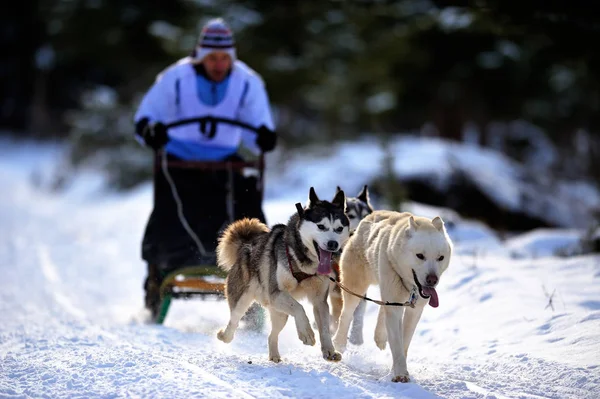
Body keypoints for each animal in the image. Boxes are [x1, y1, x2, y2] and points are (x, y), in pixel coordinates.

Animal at [218, 187, 352, 362]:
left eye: (339, 228)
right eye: (321, 226)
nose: (332, 244)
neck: (305, 264)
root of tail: (246, 245)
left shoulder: (319, 301)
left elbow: (324, 328)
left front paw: (329, 350)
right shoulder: (276, 293)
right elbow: (300, 308)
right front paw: (306, 333)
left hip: (280, 313)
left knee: (272, 335)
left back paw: (274, 355)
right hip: (244, 301)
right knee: (233, 321)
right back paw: (224, 335)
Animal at [330, 211, 452, 382]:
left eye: (440, 258)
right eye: (420, 256)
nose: (432, 280)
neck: (411, 287)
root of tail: (368, 217)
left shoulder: (414, 310)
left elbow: (404, 343)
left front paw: (396, 370)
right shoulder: (395, 307)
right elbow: (397, 343)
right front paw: (400, 374)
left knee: (383, 307)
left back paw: (380, 337)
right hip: (356, 288)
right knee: (346, 315)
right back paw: (339, 344)